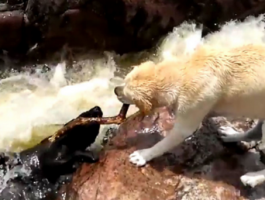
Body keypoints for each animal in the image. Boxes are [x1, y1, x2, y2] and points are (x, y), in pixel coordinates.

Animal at [114, 44, 265, 189]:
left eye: (126, 93)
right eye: (125, 80)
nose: (115, 90)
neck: (184, 73)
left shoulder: (189, 115)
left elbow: (164, 143)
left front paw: (143, 155)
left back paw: (252, 178)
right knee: (255, 132)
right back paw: (231, 134)